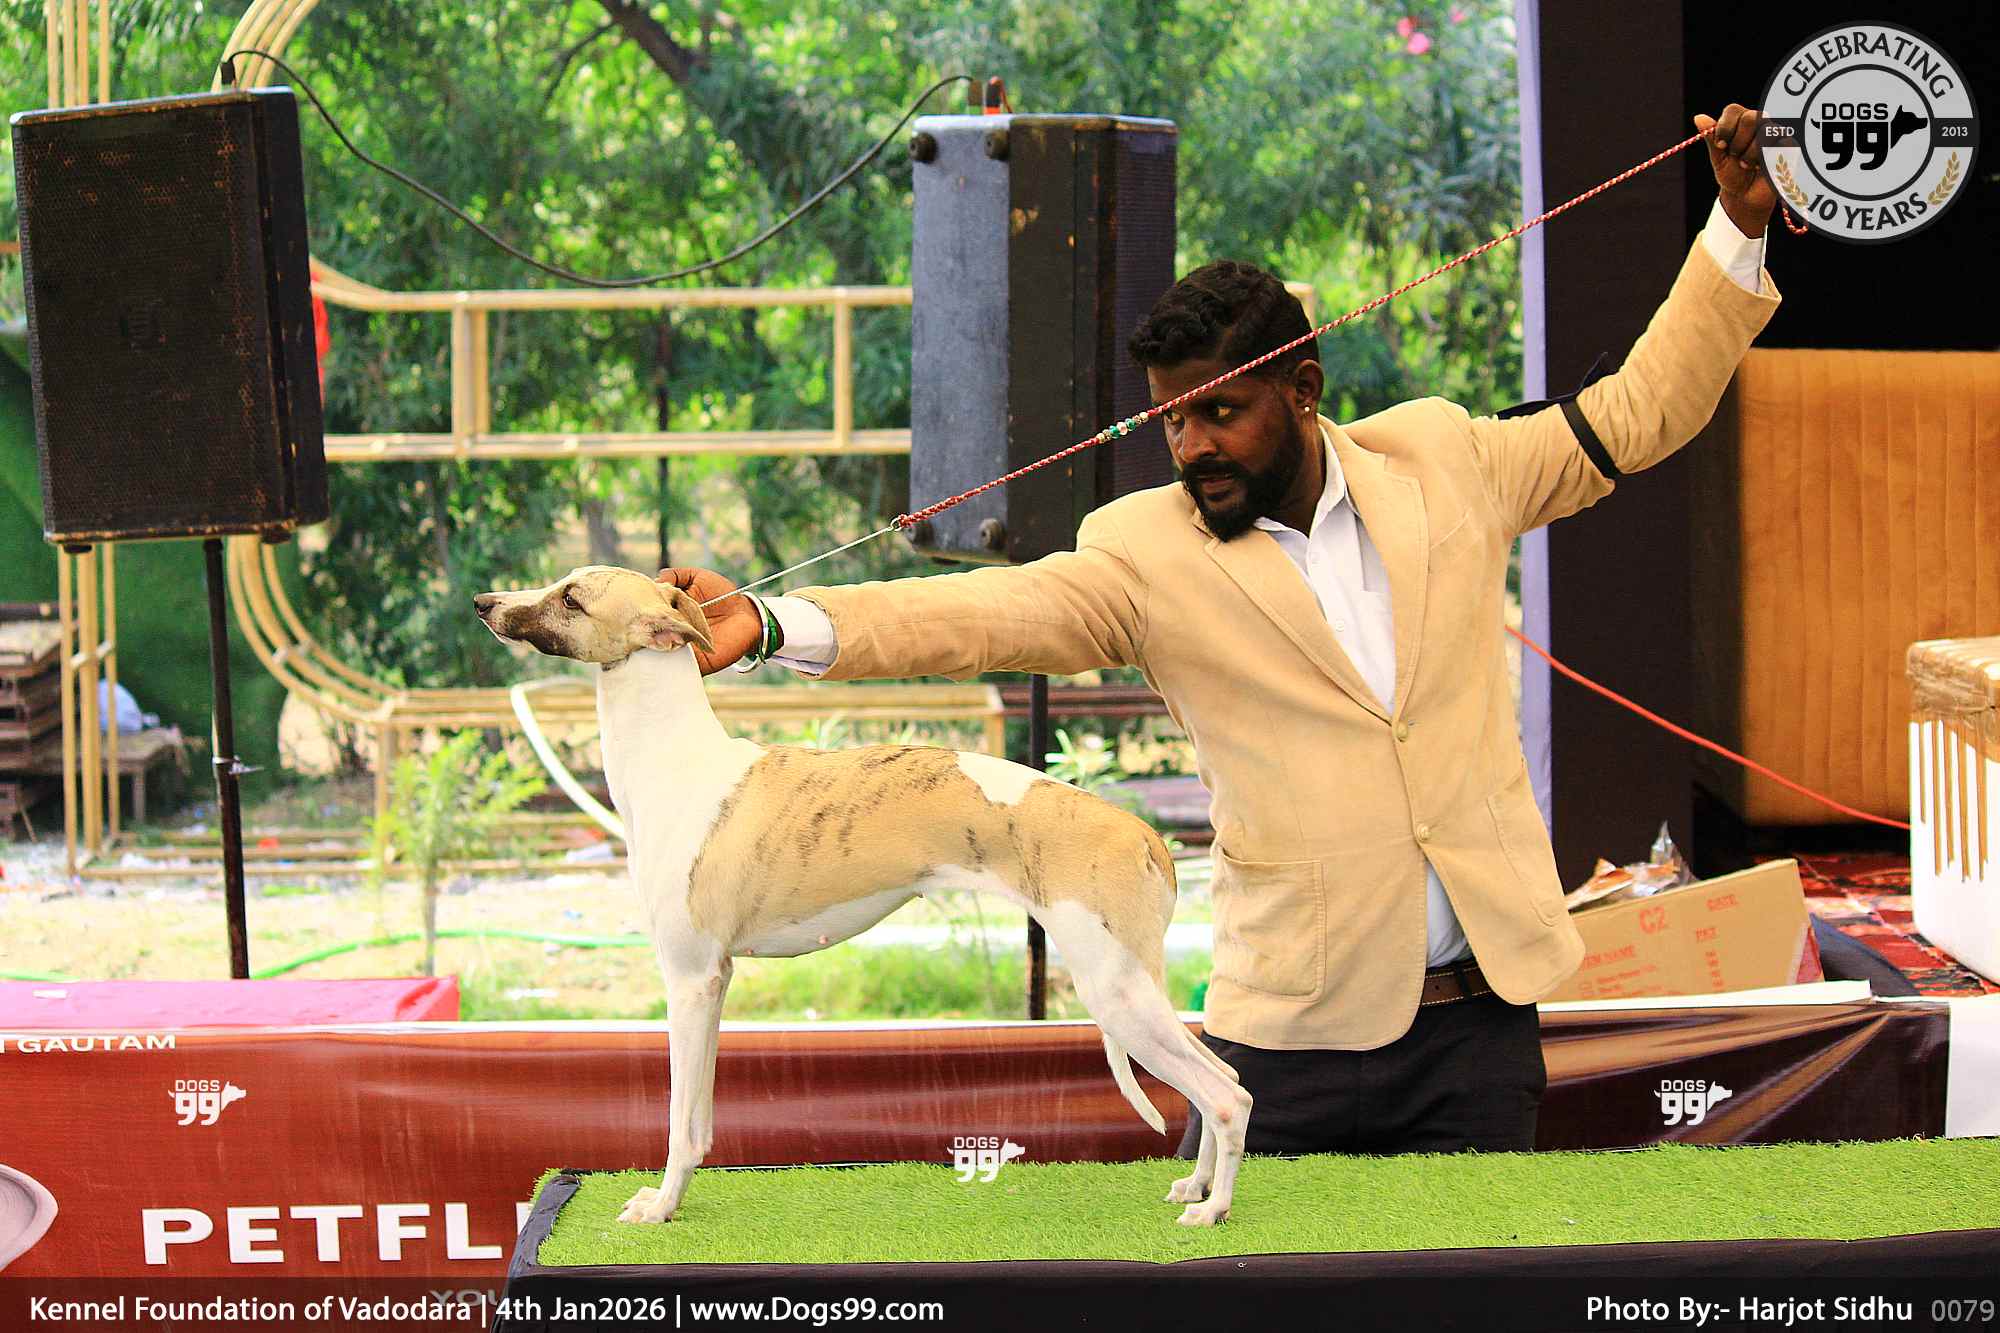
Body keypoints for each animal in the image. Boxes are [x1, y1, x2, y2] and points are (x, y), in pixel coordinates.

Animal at [475, 566, 1252, 1226]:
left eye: (572, 597)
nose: (485, 603)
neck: (676, 760)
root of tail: (1144, 835)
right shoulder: (716, 982)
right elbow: (700, 1118)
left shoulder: (689, 978)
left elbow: (678, 1121)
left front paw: (660, 1206)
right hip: (1131, 986)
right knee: (1219, 1075)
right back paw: (1196, 1186)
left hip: (1114, 989)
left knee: (1227, 1093)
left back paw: (1214, 1210)